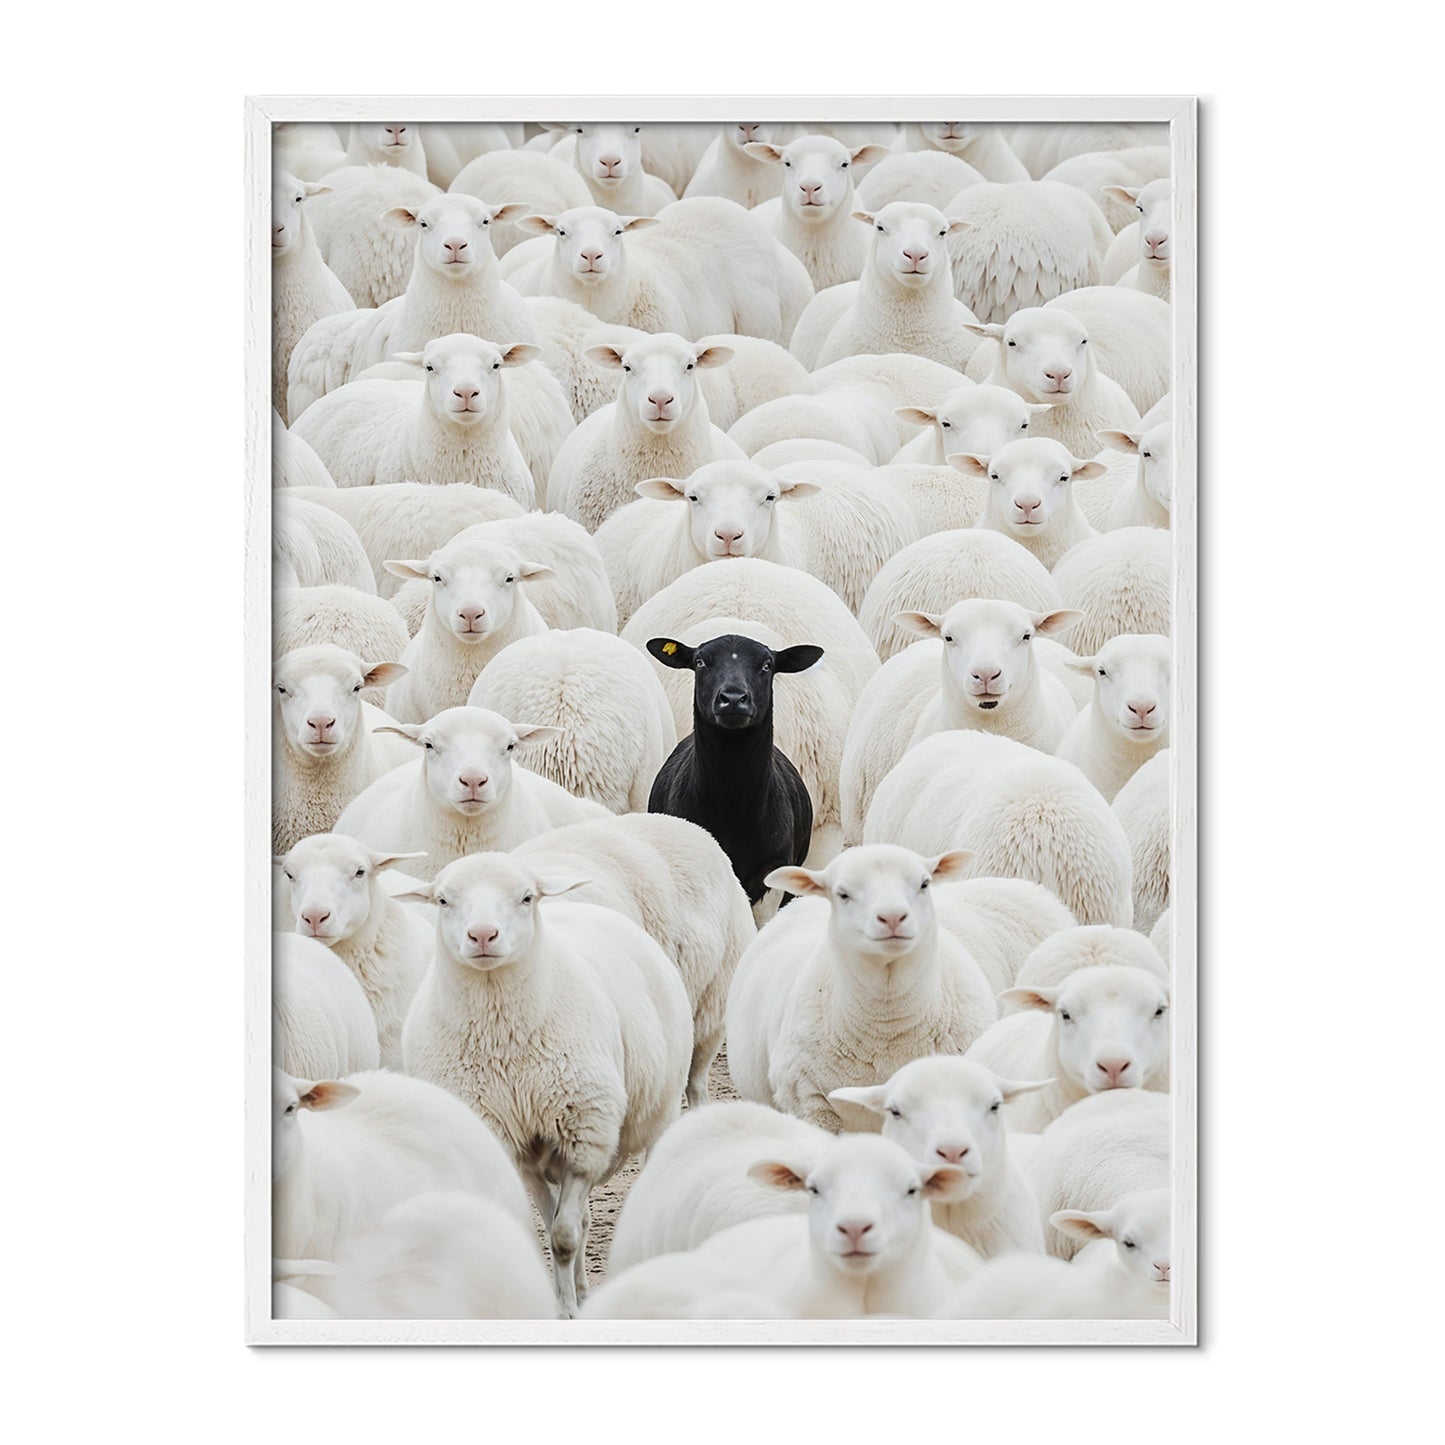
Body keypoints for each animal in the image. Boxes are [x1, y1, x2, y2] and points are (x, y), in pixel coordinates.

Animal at [401, 851, 691, 1313]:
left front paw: (568, 1309)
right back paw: (585, 1290)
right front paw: (567, 1302)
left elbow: (564, 1235)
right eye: (443, 900)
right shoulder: (515, 1145)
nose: (483, 935)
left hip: (661, 1113)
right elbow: (555, 1224)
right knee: (585, 1219)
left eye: (526, 897)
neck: (502, 1037)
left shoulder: (583, 1137)